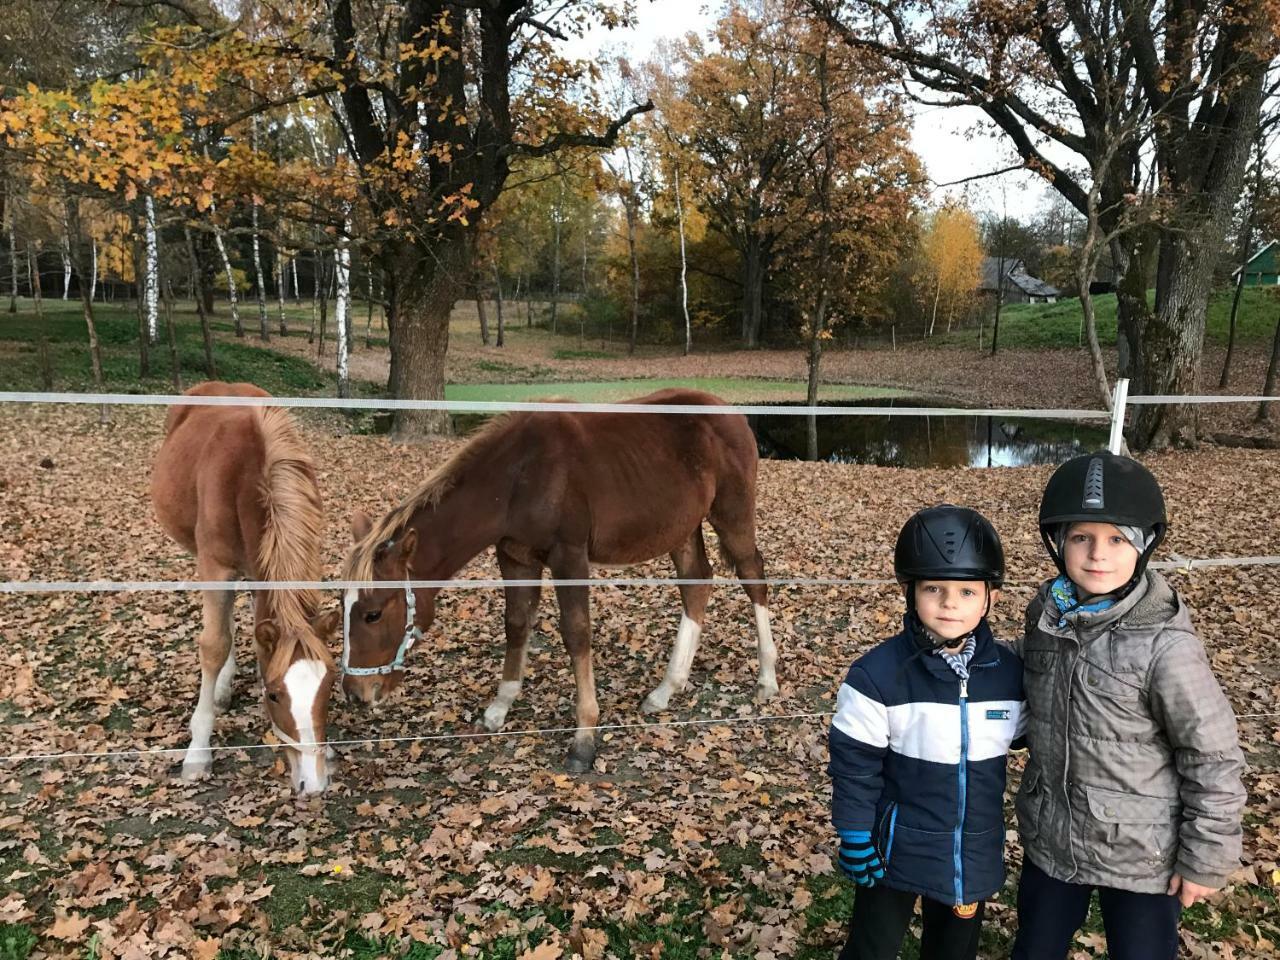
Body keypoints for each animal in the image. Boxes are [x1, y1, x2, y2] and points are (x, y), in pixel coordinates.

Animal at [148, 384, 340, 798]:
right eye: (274, 695)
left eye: (329, 688)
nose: (313, 783)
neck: (250, 477)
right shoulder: (215, 568)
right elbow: (214, 643)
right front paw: (197, 751)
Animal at [343, 386, 778, 773]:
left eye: (372, 613)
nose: (356, 692)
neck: (518, 477)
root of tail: (731, 413)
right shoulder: (514, 557)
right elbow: (517, 624)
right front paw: (499, 707)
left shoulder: (569, 557)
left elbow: (576, 633)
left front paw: (584, 738)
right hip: (681, 529)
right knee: (696, 583)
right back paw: (666, 689)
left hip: (732, 514)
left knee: (753, 576)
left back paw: (766, 678)